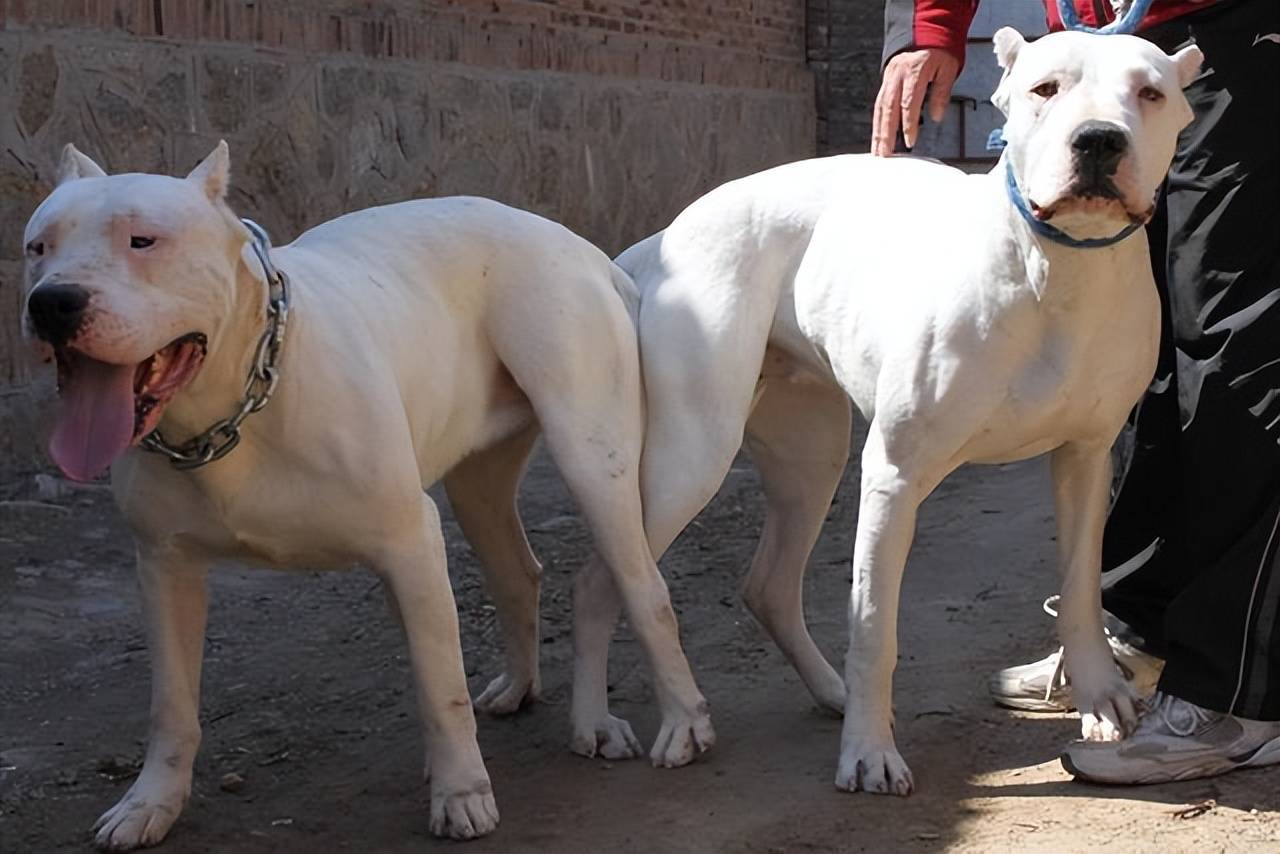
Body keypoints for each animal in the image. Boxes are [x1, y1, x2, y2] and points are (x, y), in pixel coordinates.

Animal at [20, 145, 716, 850]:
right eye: (37, 246)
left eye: (144, 241)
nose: (52, 302)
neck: (234, 408)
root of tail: (579, 245)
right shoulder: (165, 566)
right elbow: (171, 704)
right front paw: (150, 803)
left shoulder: (410, 540)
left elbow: (441, 688)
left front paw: (461, 794)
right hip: (478, 484)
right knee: (517, 573)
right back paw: (520, 687)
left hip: (590, 455)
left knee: (641, 588)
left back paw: (662, 721)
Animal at [565, 30, 1203, 798]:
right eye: (1046, 89)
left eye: (1150, 93)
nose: (1100, 140)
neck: (1053, 271)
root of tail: (663, 235)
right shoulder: (896, 474)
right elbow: (874, 627)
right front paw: (868, 752)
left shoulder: (1085, 457)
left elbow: (1079, 587)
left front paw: (1100, 695)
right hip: (690, 459)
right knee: (605, 579)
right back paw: (617, 722)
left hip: (810, 457)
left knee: (766, 585)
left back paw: (827, 693)